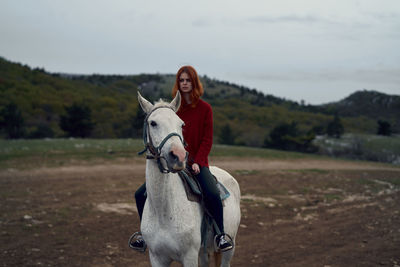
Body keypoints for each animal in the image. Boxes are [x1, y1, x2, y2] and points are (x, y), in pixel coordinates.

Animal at [136, 91, 242, 266]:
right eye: (153, 123)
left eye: (181, 124)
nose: (178, 156)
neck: (164, 211)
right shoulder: (157, 257)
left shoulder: (189, 256)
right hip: (204, 252)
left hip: (229, 249)